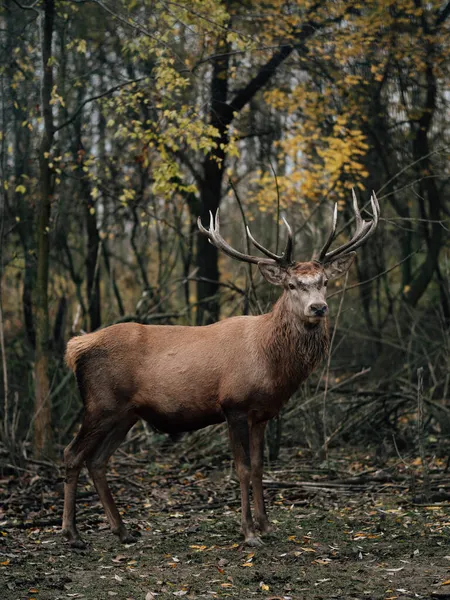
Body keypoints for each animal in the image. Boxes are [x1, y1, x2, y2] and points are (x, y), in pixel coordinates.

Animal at [62, 190, 380, 548]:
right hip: (100, 404)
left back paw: (122, 529)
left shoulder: (262, 413)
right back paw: (72, 533)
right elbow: (241, 468)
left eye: (324, 281)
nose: (318, 307)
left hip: (125, 413)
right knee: (72, 454)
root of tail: (75, 348)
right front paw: (249, 532)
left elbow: (259, 467)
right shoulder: (234, 404)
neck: (271, 363)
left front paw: (267, 525)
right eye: (292, 285)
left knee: (98, 460)